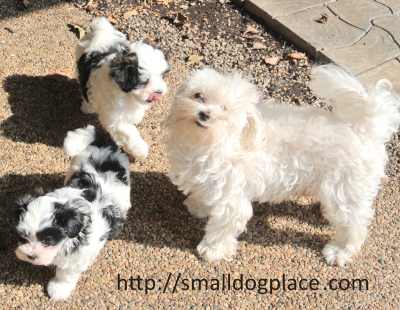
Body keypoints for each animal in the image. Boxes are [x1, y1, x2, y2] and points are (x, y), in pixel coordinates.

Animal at [14, 124, 130, 300]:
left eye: (48, 240)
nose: (30, 256)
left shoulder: (77, 258)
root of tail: (105, 142)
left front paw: (58, 289)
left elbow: (66, 274)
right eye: (23, 237)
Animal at [76, 17, 169, 160]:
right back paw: (87, 107)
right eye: (144, 82)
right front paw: (140, 149)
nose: (159, 91)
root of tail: (102, 32)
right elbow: (128, 131)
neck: (128, 96)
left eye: (162, 76)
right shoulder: (114, 116)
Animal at [165, 65, 400, 266]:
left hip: (343, 191)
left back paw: (339, 252)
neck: (211, 143)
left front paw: (212, 250)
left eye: (225, 108)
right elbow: (204, 197)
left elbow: (222, 228)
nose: (204, 113)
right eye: (198, 95)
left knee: (355, 224)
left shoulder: (233, 200)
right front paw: (198, 206)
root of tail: (365, 129)